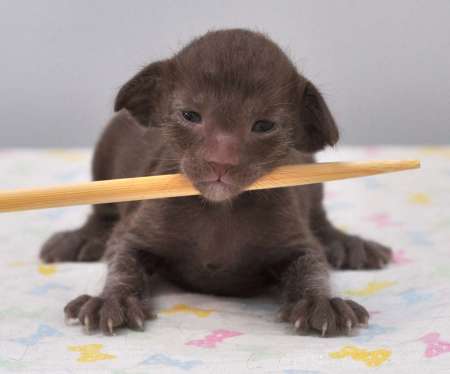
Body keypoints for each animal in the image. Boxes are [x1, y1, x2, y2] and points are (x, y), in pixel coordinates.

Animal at [39, 28, 390, 336]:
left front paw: (320, 302)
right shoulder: (139, 226)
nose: (221, 161)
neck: (220, 209)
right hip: (106, 155)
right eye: (191, 116)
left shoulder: (294, 234)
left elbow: (312, 264)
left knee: (320, 220)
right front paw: (113, 300)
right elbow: (123, 260)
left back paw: (347, 243)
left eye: (263, 125)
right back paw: (82, 238)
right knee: (103, 212)